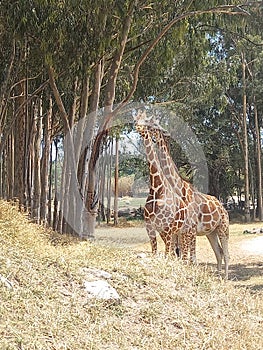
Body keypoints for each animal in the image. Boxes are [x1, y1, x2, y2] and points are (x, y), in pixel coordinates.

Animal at [136, 110, 231, 280]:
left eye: (154, 124)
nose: (139, 127)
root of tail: (223, 208)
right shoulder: (177, 232)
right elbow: (179, 256)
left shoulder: (187, 230)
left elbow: (189, 258)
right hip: (210, 232)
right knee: (218, 253)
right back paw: (218, 276)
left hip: (223, 228)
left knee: (225, 253)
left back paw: (225, 278)